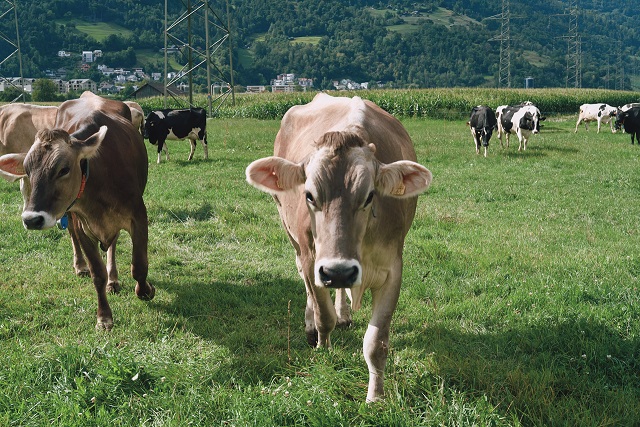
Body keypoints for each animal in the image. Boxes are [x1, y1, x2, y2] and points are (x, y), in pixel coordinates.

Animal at [244, 93, 430, 402]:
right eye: (309, 195)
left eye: (369, 196)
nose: (338, 271)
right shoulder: (312, 261)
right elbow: (323, 314)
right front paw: (323, 349)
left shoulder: (393, 269)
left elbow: (376, 343)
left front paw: (376, 397)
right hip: (291, 235)